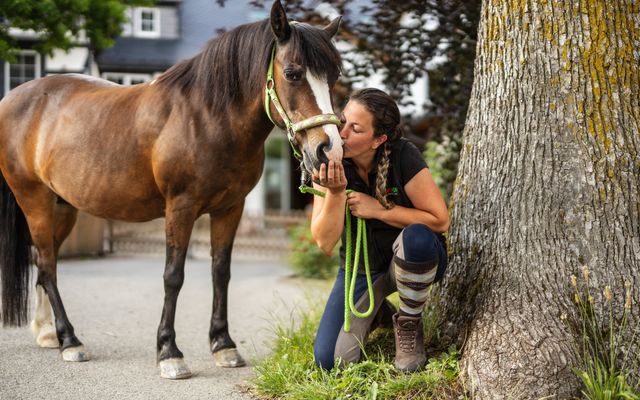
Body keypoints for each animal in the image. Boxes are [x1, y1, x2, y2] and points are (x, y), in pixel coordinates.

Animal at [0, 0, 342, 378]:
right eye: (293, 73)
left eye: (334, 77)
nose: (328, 149)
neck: (208, 117)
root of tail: (13, 99)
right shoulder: (181, 207)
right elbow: (173, 276)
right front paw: (169, 352)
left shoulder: (231, 208)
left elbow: (221, 272)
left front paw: (224, 345)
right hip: (34, 201)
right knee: (46, 265)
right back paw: (71, 341)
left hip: (62, 206)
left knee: (45, 263)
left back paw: (49, 333)